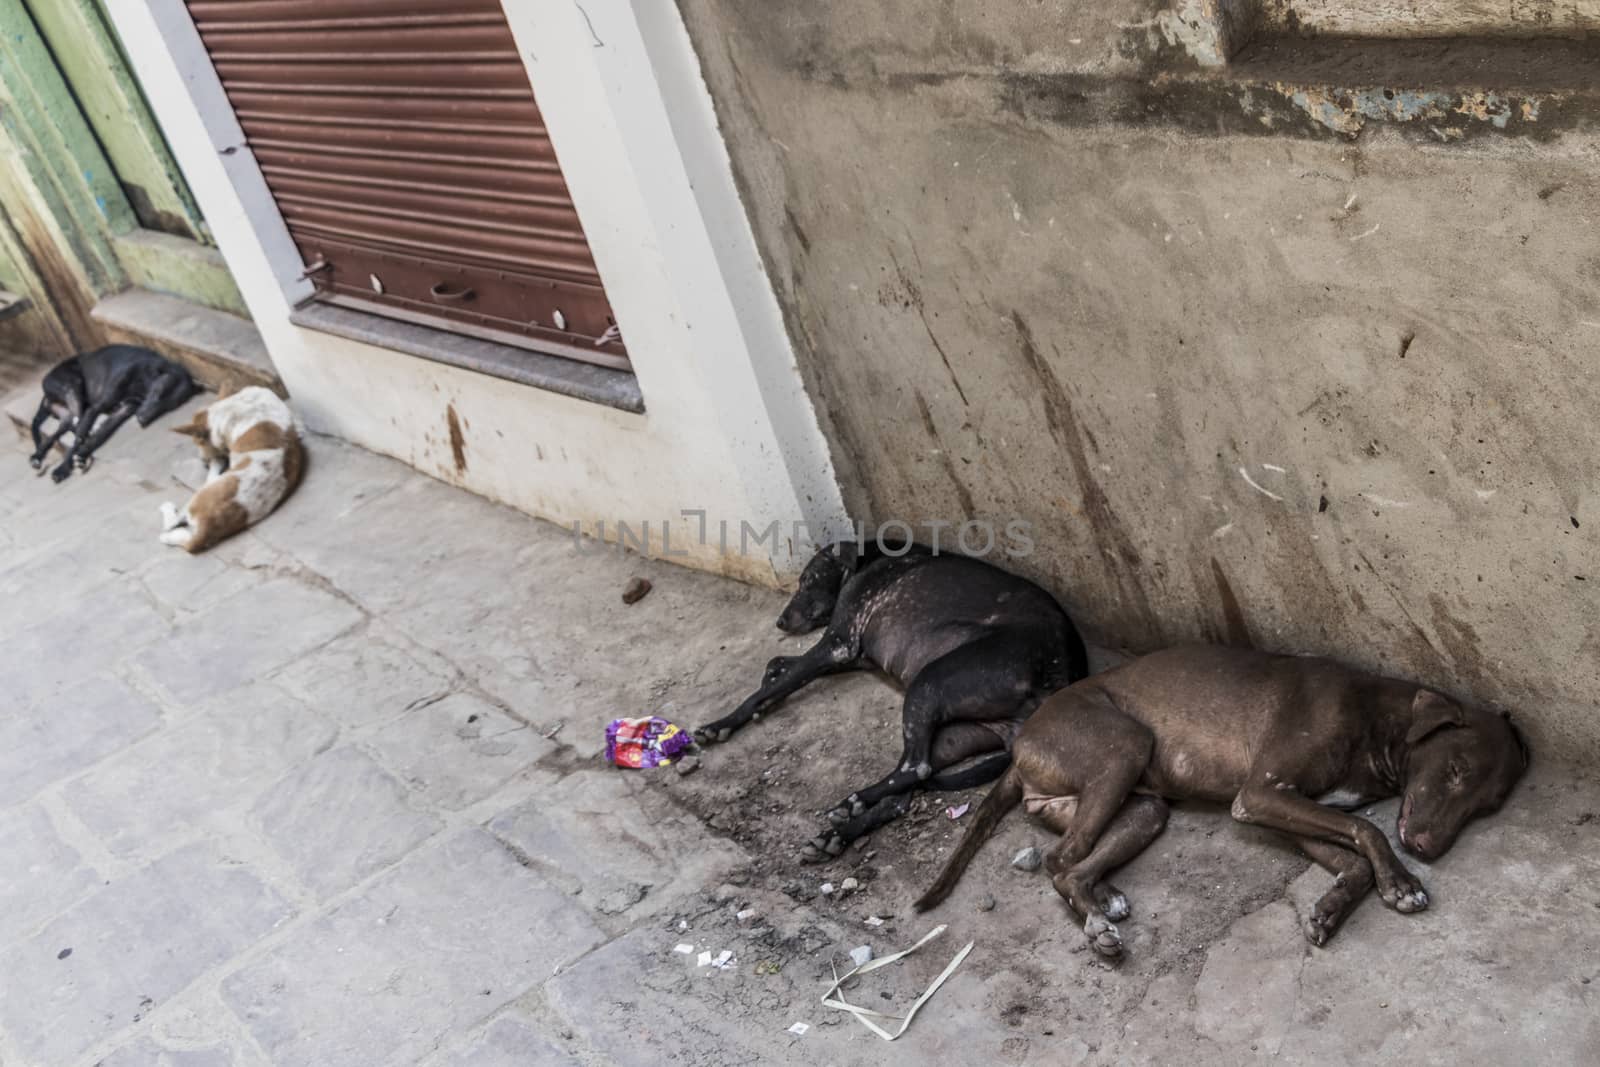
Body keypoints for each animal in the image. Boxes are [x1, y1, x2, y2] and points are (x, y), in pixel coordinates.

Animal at [30, 343, 196, 483]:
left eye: (168, 407)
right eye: (157, 393)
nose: (143, 419)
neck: (141, 379)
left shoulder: (121, 413)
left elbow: (100, 436)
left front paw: (83, 455)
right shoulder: (96, 407)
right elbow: (79, 438)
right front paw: (63, 468)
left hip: (67, 414)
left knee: (57, 433)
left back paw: (38, 456)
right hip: (73, 389)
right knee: (77, 427)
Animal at [160, 385, 302, 556]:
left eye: (198, 442)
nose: (203, 461)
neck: (230, 405)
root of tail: (208, 526)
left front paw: (216, 461)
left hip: (199, 495)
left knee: (172, 523)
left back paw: (166, 521)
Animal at [915, 643, 1523, 959]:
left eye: (1486, 806)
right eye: (1455, 770)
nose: (1427, 848)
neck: (1376, 716)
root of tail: (1020, 748)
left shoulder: (1287, 809)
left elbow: (1352, 858)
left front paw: (1330, 908)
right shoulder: (1260, 793)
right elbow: (1369, 832)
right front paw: (1401, 883)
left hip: (1139, 807)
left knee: (1071, 864)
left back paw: (1104, 899)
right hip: (1123, 747)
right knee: (1059, 860)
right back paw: (1097, 928)